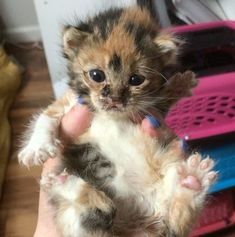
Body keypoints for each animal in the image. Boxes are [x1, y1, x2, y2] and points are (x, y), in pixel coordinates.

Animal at [18, 3, 217, 237]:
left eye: (136, 79)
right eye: (96, 75)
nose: (114, 99)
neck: (111, 115)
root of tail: (140, 225)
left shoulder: (151, 109)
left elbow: (162, 98)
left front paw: (181, 83)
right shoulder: (70, 104)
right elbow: (45, 117)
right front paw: (36, 149)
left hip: (169, 165)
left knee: (173, 218)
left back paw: (192, 182)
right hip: (70, 217)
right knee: (97, 215)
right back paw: (64, 183)